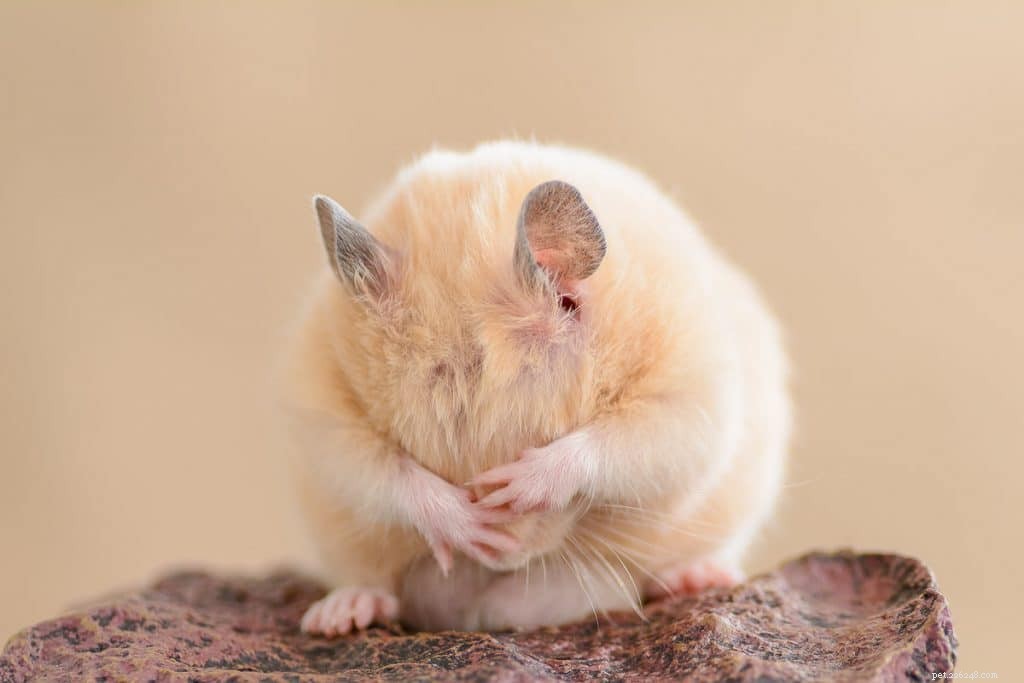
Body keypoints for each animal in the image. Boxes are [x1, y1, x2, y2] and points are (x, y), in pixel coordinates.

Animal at [282, 141, 790, 635]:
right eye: (413, 445)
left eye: (544, 435)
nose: (501, 558)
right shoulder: (326, 413)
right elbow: (384, 471)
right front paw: (469, 524)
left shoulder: (688, 395)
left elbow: (615, 443)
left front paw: (519, 484)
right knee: (373, 579)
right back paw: (341, 615)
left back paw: (695, 576)